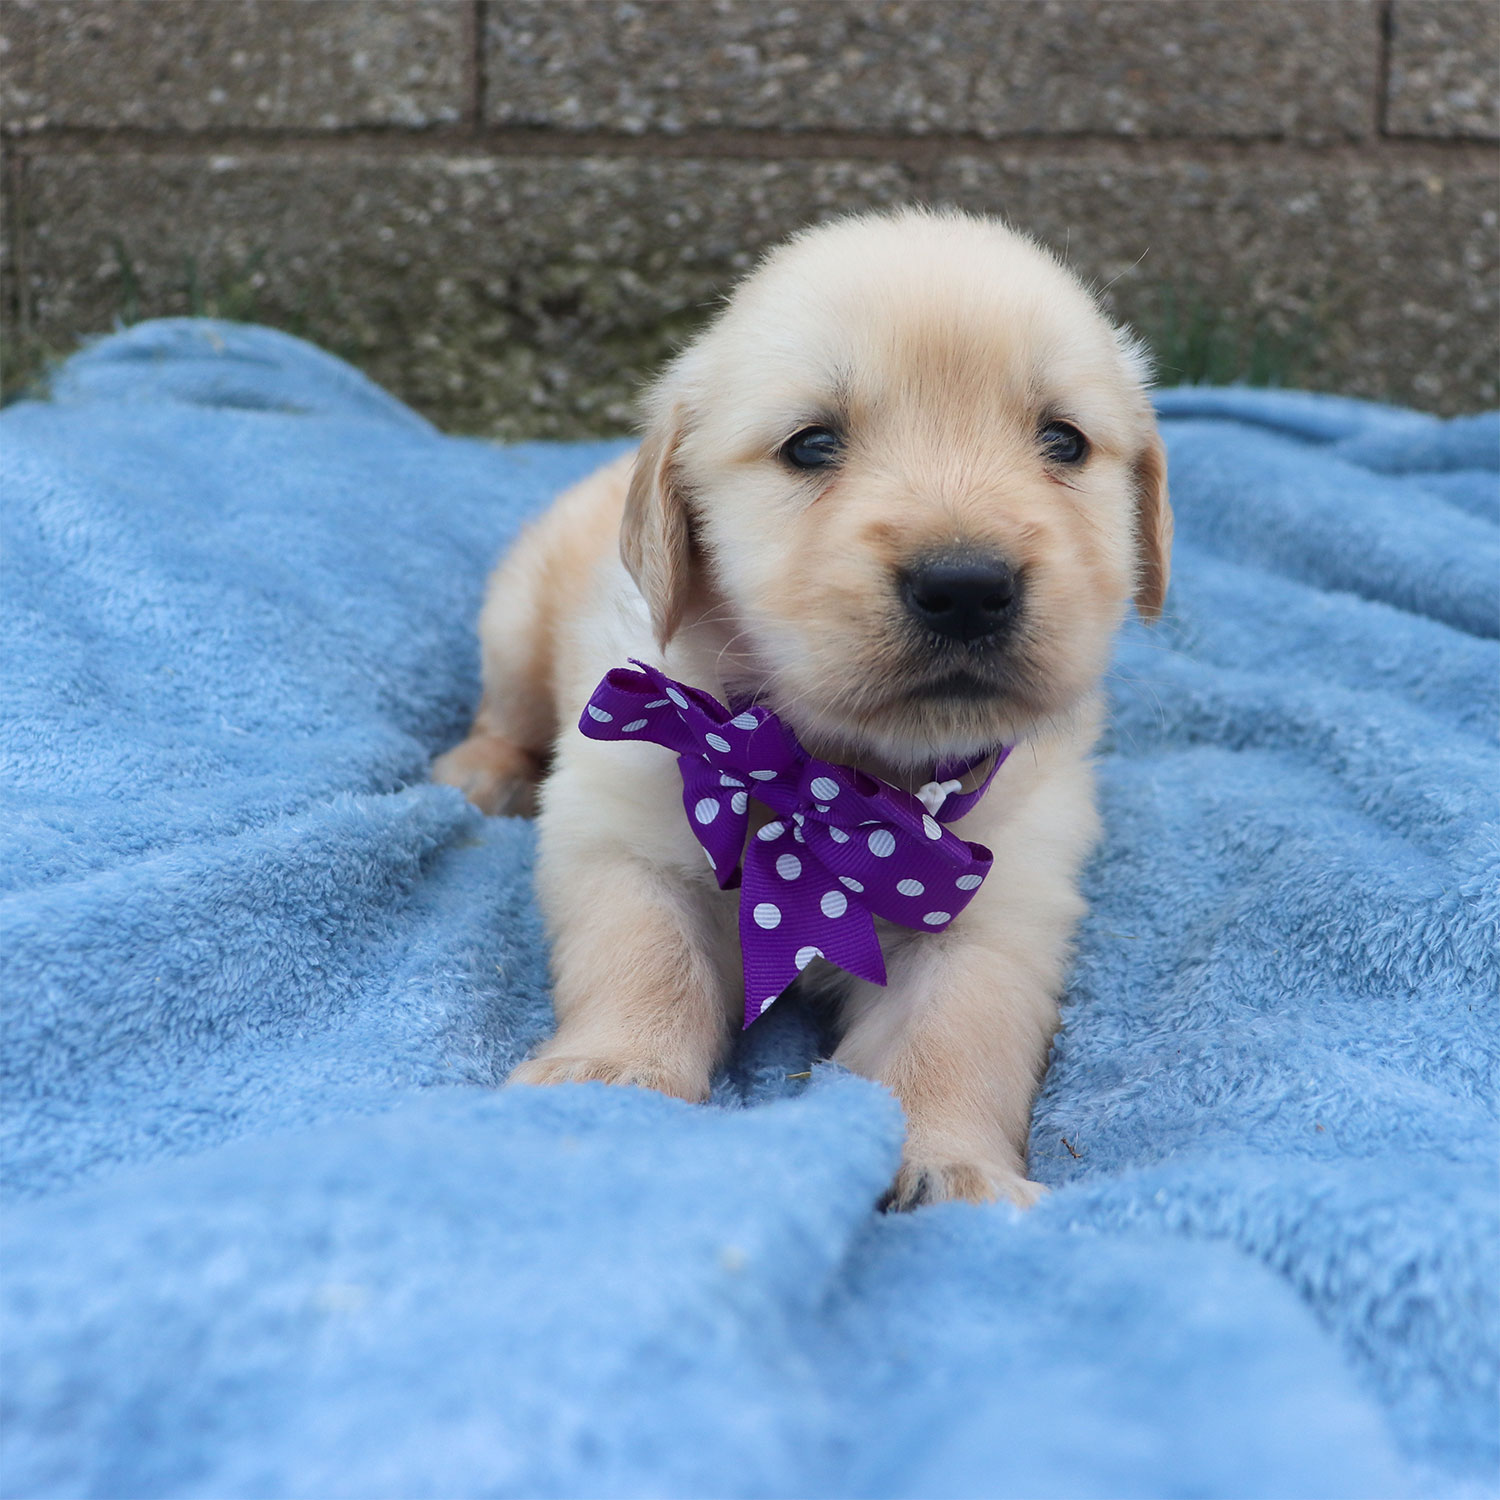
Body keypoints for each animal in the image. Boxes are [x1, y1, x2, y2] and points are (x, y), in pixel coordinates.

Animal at [429, 208, 1164, 1206]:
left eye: (1064, 442)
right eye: (812, 445)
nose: (966, 587)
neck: (832, 782)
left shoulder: (996, 905)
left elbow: (955, 1036)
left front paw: (956, 1163)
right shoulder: (626, 825)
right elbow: (644, 958)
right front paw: (614, 1071)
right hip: (515, 621)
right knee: (502, 714)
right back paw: (476, 773)